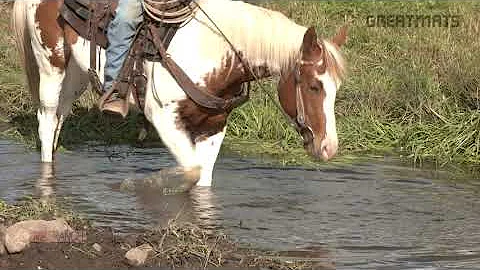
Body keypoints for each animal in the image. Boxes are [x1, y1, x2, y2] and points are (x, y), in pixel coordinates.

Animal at [13, 0, 346, 188]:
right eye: (314, 86)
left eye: (336, 89)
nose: (328, 147)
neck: (212, 49)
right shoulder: (164, 118)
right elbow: (191, 170)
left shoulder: (214, 125)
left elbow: (203, 180)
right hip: (51, 65)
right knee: (46, 121)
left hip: (77, 73)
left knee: (59, 118)